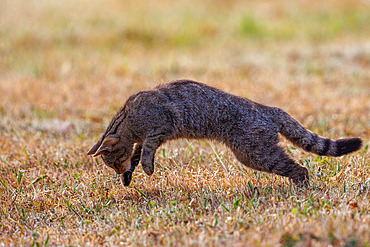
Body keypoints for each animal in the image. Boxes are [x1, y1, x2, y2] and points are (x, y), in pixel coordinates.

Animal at [86, 80, 362, 186]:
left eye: (113, 163)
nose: (117, 172)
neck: (129, 120)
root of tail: (268, 108)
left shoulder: (161, 127)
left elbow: (146, 150)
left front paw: (144, 167)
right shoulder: (145, 138)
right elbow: (138, 152)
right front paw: (130, 173)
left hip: (255, 153)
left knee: (300, 169)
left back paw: (302, 188)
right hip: (253, 153)